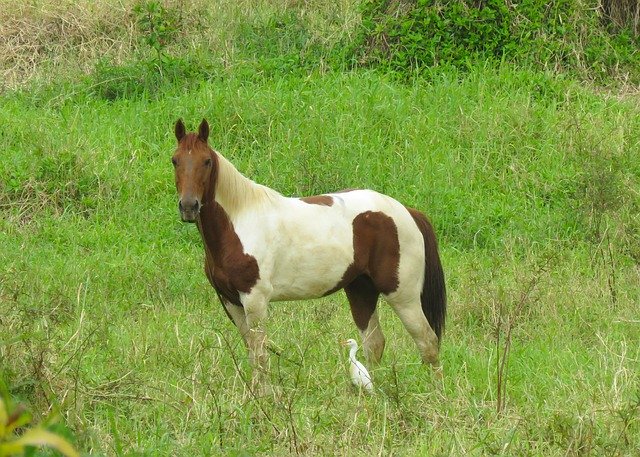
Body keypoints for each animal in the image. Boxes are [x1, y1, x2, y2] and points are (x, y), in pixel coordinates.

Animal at [172, 118, 448, 388]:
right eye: (175, 160)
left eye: (206, 161)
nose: (189, 206)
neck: (239, 222)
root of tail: (407, 212)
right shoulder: (231, 300)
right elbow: (252, 352)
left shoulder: (255, 299)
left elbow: (260, 355)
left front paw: (263, 396)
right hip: (361, 289)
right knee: (375, 344)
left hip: (402, 295)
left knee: (427, 342)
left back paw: (436, 393)